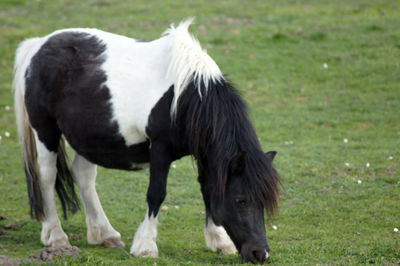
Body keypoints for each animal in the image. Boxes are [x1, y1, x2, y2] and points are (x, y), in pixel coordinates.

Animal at [13, 19, 282, 264]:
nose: (260, 254)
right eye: (241, 201)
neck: (186, 94)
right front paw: (145, 246)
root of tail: (37, 45)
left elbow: (208, 188)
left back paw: (105, 234)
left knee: (84, 176)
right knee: (47, 177)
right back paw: (56, 236)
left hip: (87, 137)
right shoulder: (160, 148)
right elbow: (156, 194)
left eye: (264, 200)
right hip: (45, 130)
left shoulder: (204, 153)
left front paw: (219, 241)